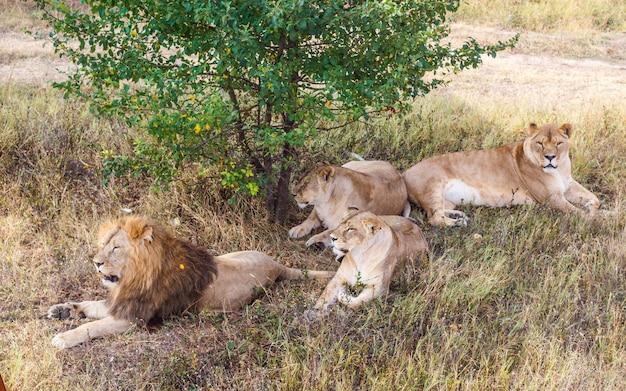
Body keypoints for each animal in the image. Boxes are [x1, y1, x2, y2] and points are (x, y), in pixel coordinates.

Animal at [48, 217, 334, 350]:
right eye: (104, 244)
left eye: (116, 248)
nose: (95, 263)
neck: (133, 276)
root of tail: (277, 266)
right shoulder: (121, 301)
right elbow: (90, 305)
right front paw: (64, 310)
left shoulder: (133, 318)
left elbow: (92, 327)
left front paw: (63, 337)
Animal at [402, 122, 596, 227]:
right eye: (540, 143)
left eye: (558, 143)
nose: (550, 157)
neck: (559, 169)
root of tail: (404, 173)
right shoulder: (552, 199)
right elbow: (578, 212)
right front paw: (598, 220)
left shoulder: (568, 184)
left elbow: (595, 199)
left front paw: (595, 209)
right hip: (433, 186)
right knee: (434, 218)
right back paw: (458, 222)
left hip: (447, 200)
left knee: (441, 211)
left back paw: (459, 215)